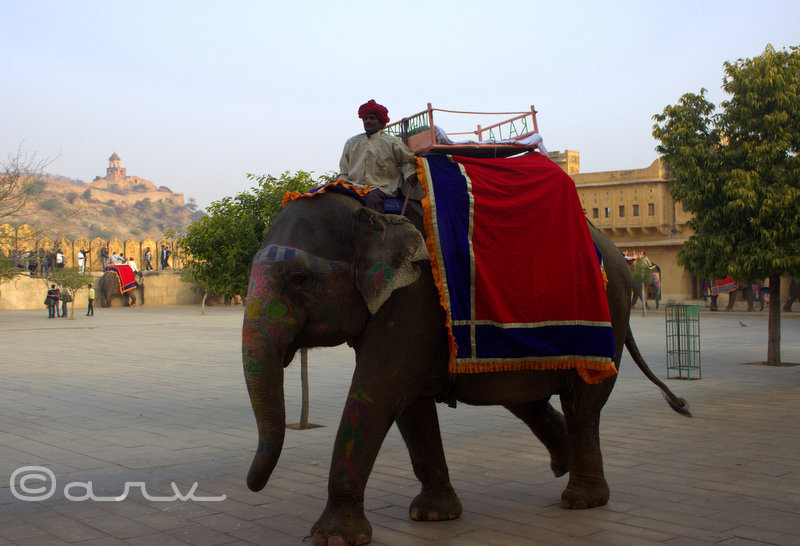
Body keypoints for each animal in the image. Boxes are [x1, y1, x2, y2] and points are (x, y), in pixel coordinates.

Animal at [241, 191, 689, 545]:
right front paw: (432, 515)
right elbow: (410, 406)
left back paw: (581, 500)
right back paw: (563, 468)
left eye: (299, 278)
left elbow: (379, 391)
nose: (252, 486)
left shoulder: (413, 300)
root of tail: (622, 258)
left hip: (609, 314)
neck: (369, 210)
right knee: (526, 398)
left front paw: (333, 538)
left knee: (582, 403)